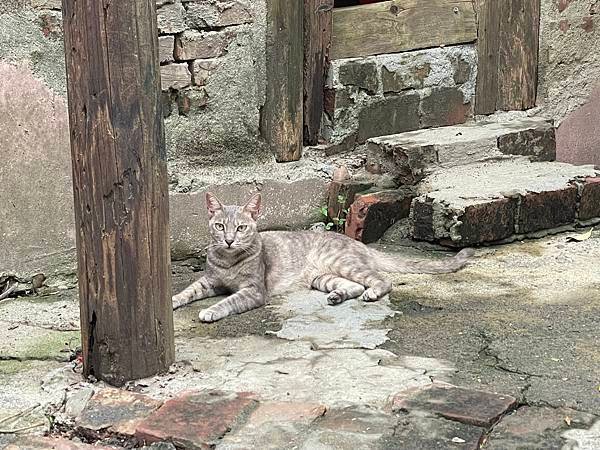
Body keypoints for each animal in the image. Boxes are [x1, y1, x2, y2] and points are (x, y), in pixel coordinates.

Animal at [172, 193, 474, 324]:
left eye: (241, 228)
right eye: (219, 226)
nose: (228, 239)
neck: (227, 259)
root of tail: (356, 242)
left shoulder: (253, 291)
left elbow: (228, 301)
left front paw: (211, 310)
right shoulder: (209, 281)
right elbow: (188, 290)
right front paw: (172, 302)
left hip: (344, 264)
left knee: (380, 280)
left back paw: (372, 293)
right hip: (323, 277)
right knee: (354, 286)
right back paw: (337, 297)